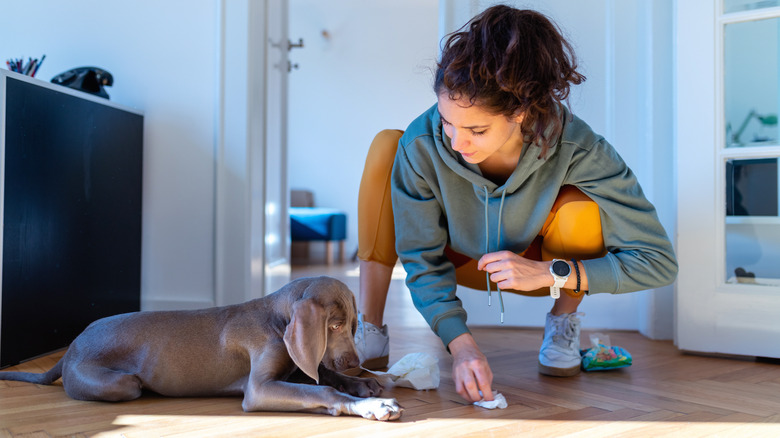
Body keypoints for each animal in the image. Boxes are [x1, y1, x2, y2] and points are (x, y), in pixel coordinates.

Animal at [0, 278, 402, 420]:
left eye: (352, 325)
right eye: (333, 326)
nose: (355, 362)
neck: (276, 318)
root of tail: (70, 349)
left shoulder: (295, 365)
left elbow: (320, 373)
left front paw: (364, 385)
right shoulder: (259, 388)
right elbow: (319, 388)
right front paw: (370, 404)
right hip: (121, 384)